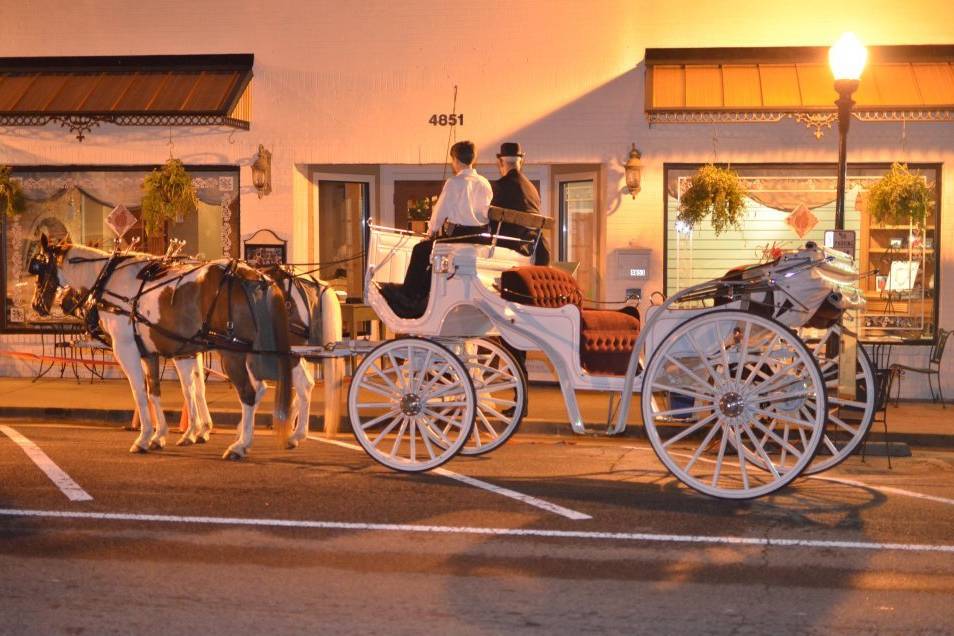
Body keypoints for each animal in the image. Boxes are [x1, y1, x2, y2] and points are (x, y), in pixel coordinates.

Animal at [30, 236, 290, 460]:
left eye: (39, 267)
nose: (36, 305)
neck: (107, 278)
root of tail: (256, 278)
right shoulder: (151, 352)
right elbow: (157, 391)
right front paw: (160, 436)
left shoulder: (126, 350)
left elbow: (140, 393)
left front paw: (144, 437)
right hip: (251, 352)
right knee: (259, 388)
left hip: (231, 352)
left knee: (248, 393)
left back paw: (240, 445)